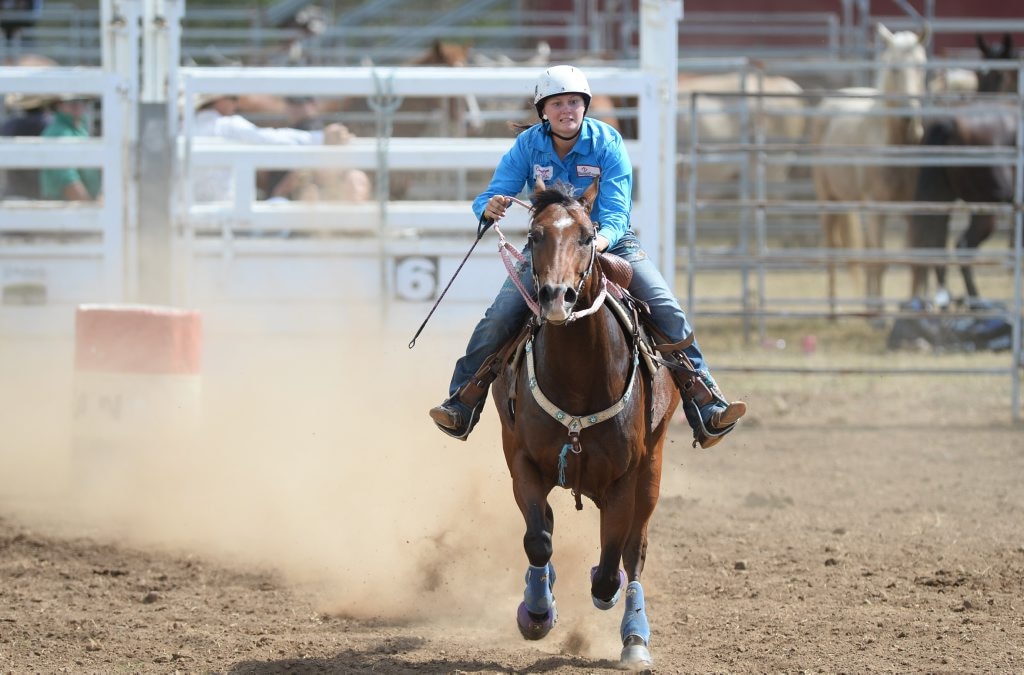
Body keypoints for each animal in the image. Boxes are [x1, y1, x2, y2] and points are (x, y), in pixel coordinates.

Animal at [489, 179, 679, 671]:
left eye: (587, 236)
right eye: (534, 235)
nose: (557, 297)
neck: (578, 379)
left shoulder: (624, 479)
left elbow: (611, 562)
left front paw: (603, 592)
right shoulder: (521, 461)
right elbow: (538, 538)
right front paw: (537, 612)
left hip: (652, 470)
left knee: (634, 552)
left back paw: (635, 639)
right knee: (548, 527)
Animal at [811, 23, 933, 313]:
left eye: (920, 66)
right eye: (895, 69)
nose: (911, 120)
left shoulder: (912, 208)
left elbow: (914, 261)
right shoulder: (878, 206)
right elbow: (880, 262)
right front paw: (879, 314)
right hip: (828, 200)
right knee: (833, 250)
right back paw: (834, 312)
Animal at [909, 33, 1019, 303]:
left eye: (998, 75)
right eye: (980, 75)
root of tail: (948, 123)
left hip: (941, 198)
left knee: (935, 242)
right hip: (988, 205)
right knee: (963, 246)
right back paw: (976, 301)